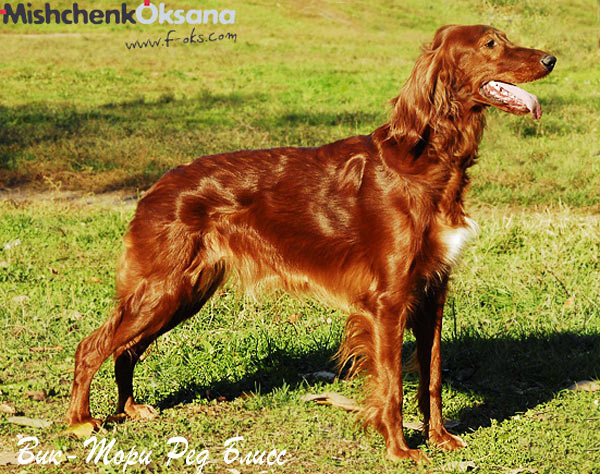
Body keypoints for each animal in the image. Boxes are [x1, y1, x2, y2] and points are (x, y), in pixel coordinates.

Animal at [66, 24, 555, 462]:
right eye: (491, 44)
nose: (551, 59)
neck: (427, 158)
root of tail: (155, 188)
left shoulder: (433, 292)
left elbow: (431, 375)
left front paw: (440, 439)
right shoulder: (388, 300)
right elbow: (393, 383)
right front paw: (399, 450)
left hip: (182, 293)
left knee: (125, 350)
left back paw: (129, 409)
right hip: (163, 288)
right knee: (92, 346)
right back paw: (81, 421)